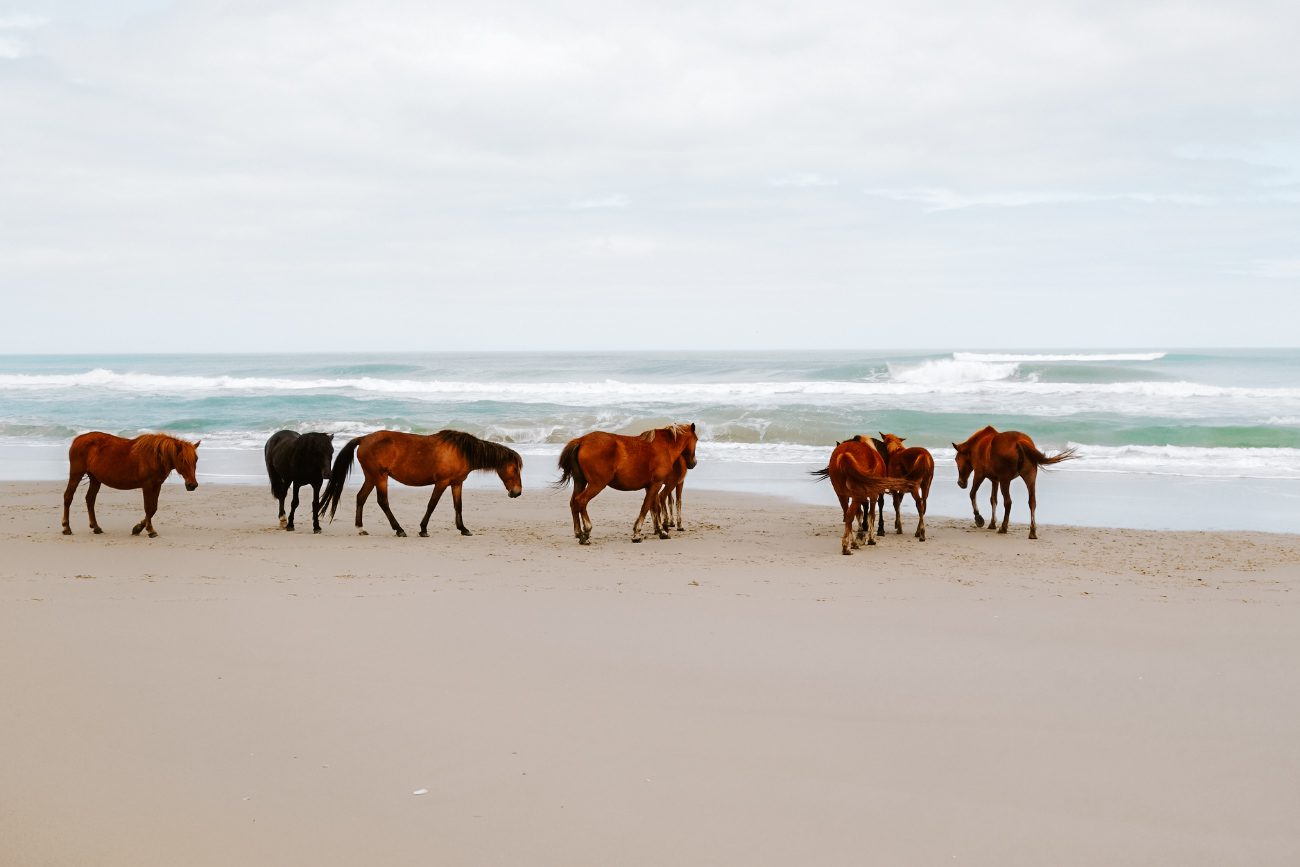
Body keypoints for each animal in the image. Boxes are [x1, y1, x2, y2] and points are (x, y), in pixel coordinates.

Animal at [61, 432, 201, 537]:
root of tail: (77, 440)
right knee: (68, 497)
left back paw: (96, 527)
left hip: (95, 479)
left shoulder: (157, 485)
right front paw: (150, 530)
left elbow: (153, 508)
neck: (154, 456)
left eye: (196, 460)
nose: (192, 485)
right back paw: (66, 527)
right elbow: (148, 508)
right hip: (76, 474)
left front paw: (138, 528)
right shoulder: (147, 486)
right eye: (183, 460)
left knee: (90, 499)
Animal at [318, 430, 522, 537]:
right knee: (382, 501)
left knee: (361, 497)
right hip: (380, 477)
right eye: (514, 469)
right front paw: (423, 529)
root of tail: (363, 438)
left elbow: (459, 506)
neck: (461, 451)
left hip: (371, 477)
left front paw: (463, 529)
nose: (517, 492)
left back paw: (361, 528)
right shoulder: (442, 482)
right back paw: (399, 529)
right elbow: (432, 505)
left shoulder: (456, 484)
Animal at [555, 423, 698, 545]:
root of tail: (581, 440)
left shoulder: (650, 487)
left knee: (573, 503)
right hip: (596, 484)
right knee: (581, 501)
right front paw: (637, 534)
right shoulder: (656, 484)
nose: (693, 463)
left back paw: (579, 533)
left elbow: (654, 508)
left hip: (580, 482)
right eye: (696, 440)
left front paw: (661, 532)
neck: (664, 446)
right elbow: (645, 507)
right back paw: (586, 532)